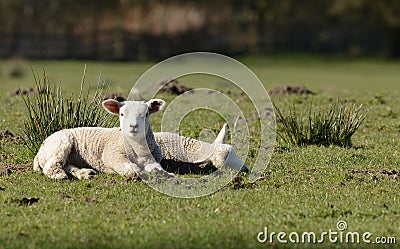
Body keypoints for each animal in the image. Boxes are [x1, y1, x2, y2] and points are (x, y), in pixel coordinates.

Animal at [32, 98, 167, 180]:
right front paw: (136, 172)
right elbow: (130, 168)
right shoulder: (111, 154)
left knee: (67, 165)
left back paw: (85, 173)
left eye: (146, 114)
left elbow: (157, 168)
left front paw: (159, 172)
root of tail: (39, 153)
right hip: (60, 144)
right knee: (51, 165)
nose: (133, 126)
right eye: (122, 114)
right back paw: (59, 175)